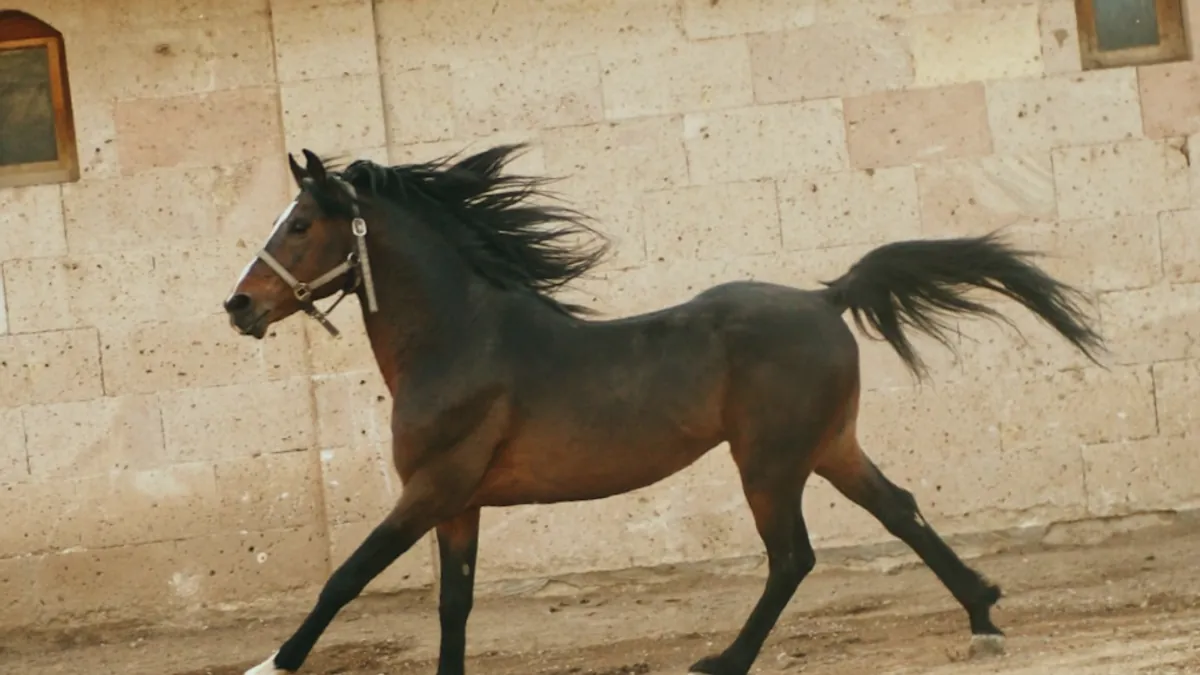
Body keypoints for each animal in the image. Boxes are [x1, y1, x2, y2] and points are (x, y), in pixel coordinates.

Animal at [223, 144, 1104, 675]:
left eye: (300, 223)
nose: (238, 307)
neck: (459, 337)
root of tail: (826, 299)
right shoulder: (458, 502)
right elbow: (453, 602)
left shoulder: (431, 488)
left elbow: (348, 575)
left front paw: (271, 661)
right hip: (830, 447)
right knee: (901, 510)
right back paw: (983, 614)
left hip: (769, 462)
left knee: (794, 557)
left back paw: (725, 659)